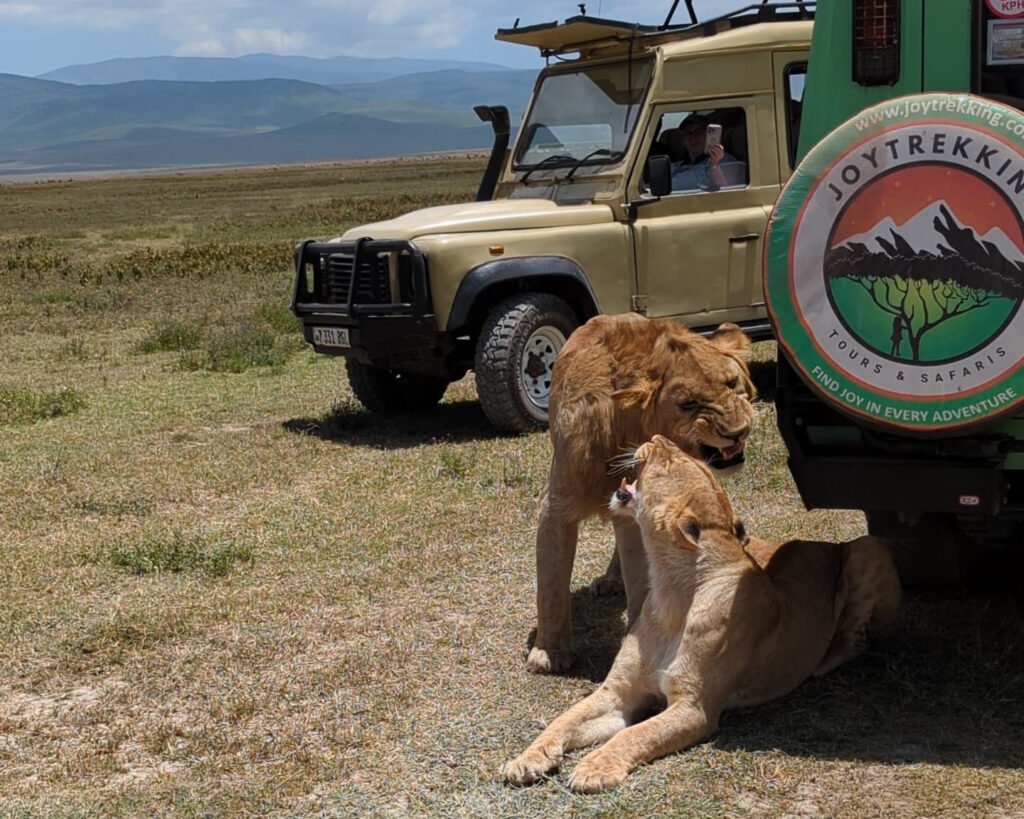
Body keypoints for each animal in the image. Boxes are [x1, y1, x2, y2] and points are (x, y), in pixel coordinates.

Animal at [504, 435, 901, 793]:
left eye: (672, 462)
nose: (655, 436)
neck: (670, 593)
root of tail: (818, 543)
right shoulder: (617, 693)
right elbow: (564, 719)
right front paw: (526, 759)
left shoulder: (694, 708)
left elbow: (636, 735)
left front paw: (595, 769)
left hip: (870, 548)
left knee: (856, 638)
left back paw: (823, 659)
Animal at [528, 313, 755, 674]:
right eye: (688, 404)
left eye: (732, 383)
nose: (738, 432)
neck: (625, 432)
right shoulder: (557, 505)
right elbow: (550, 582)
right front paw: (549, 653)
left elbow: (641, 576)